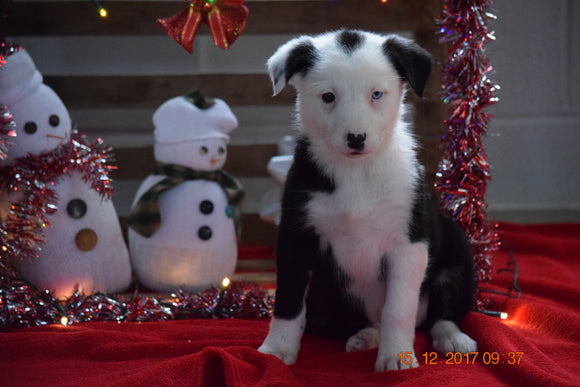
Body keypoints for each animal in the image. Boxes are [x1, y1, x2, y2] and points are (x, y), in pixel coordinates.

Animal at [258, 31, 476, 372]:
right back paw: (365, 336)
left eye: (376, 94)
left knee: (441, 314)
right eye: (328, 97)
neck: (356, 170)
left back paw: (452, 338)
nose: (356, 138)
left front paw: (397, 357)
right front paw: (276, 350)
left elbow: (398, 308)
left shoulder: (409, 243)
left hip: (457, 248)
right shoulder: (296, 236)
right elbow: (288, 301)